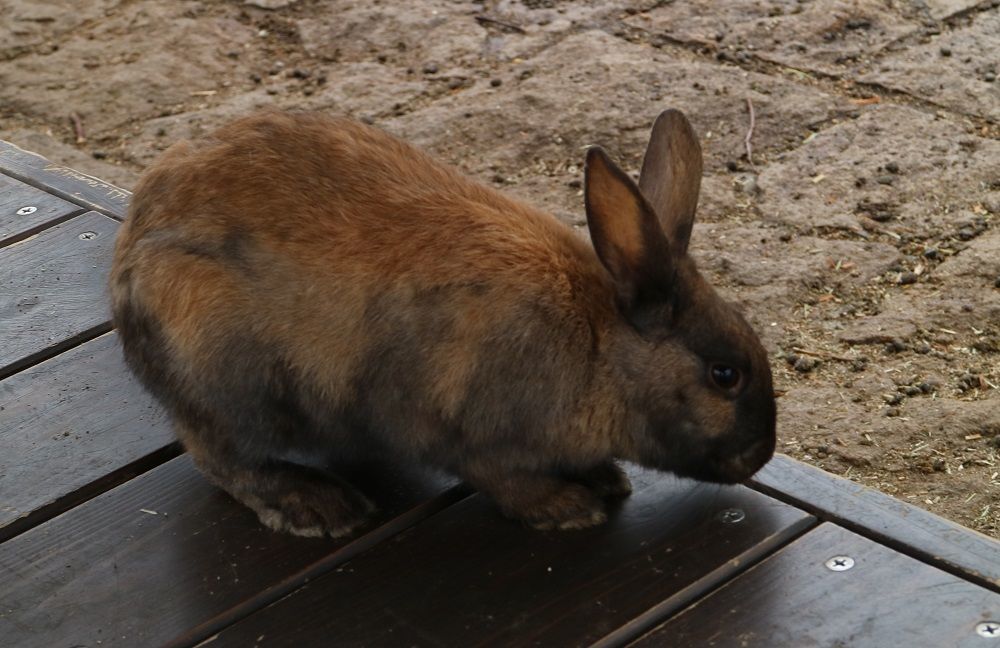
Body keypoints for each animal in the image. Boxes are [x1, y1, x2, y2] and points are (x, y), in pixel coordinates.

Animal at [111, 110, 780, 536]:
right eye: (724, 375)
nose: (761, 455)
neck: (598, 346)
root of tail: (130, 256)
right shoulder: (464, 429)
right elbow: (500, 477)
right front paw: (567, 507)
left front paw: (604, 479)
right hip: (226, 373)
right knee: (222, 458)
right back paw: (318, 507)